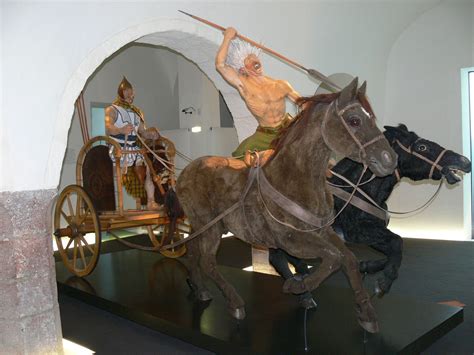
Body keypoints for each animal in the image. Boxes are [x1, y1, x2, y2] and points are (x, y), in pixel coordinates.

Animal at [268, 124, 472, 308]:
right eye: (422, 147)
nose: (465, 162)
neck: (361, 190)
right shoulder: (360, 232)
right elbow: (398, 242)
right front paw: (384, 283)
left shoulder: (375, 232)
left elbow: (391, 252)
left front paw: (366, 266)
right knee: (278, 260)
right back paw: (304, 293)